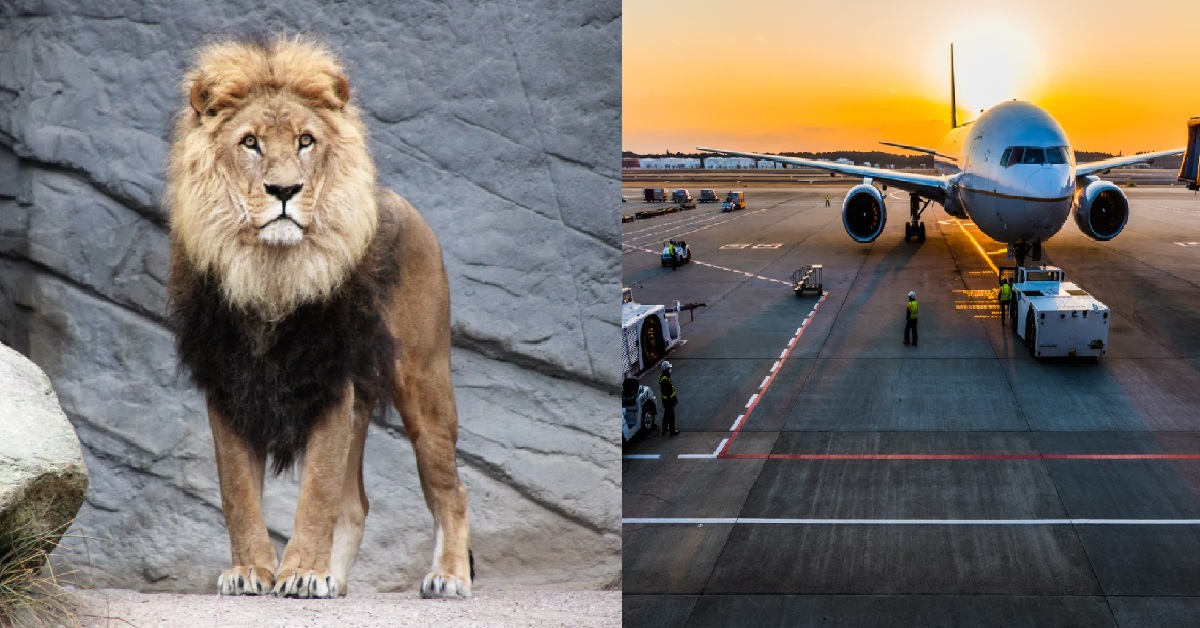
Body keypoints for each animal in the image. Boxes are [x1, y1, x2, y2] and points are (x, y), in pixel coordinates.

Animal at [164, 36, 471, 599]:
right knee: (356, 505)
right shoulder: (228, 382)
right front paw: (252, 570)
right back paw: (338, 579)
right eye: (250, 143)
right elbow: (239, 492)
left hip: (424, 380)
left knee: (451, 489)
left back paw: (447, 576)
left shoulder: (331, 378)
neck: (271, 273)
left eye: (305, 141)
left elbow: (316, 493)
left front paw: (303, 571)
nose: (285, 190)